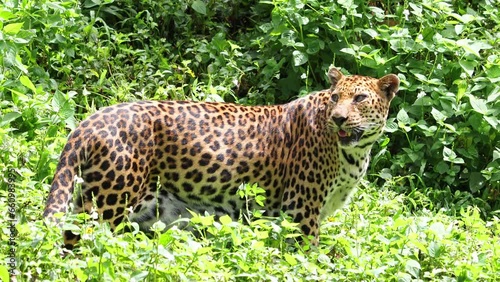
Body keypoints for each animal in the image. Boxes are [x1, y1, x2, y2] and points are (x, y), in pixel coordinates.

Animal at [45, 67, 400, 248]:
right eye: (336, 98)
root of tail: (90, 121)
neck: (354, 153)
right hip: (110, 204)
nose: (339, 118)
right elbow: (307, 256)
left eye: (359, 98)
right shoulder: (301, 211)